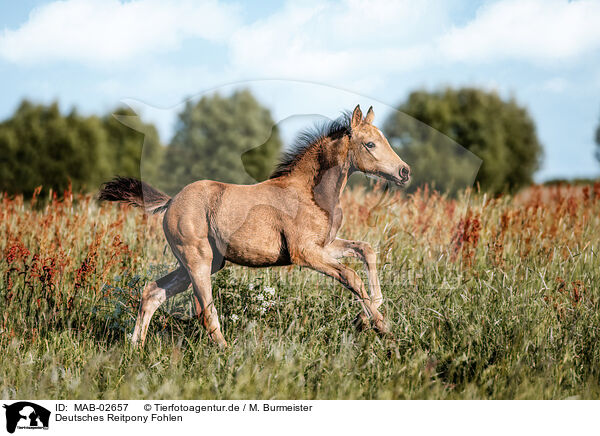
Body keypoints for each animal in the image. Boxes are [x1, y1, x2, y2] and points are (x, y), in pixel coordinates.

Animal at [101, 105, 410, 348]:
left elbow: (366, 250)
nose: (404, 171)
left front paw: (364, 318)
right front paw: (381, 326)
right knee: (205, 311)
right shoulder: (304, 253)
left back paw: (136, 348)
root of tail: (170, 202)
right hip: (197, 259)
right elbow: (351, 276)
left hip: (206, 263)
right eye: (370, 144)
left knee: (152, 292)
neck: (309, 192)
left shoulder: (325, 246)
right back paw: (227, 353)